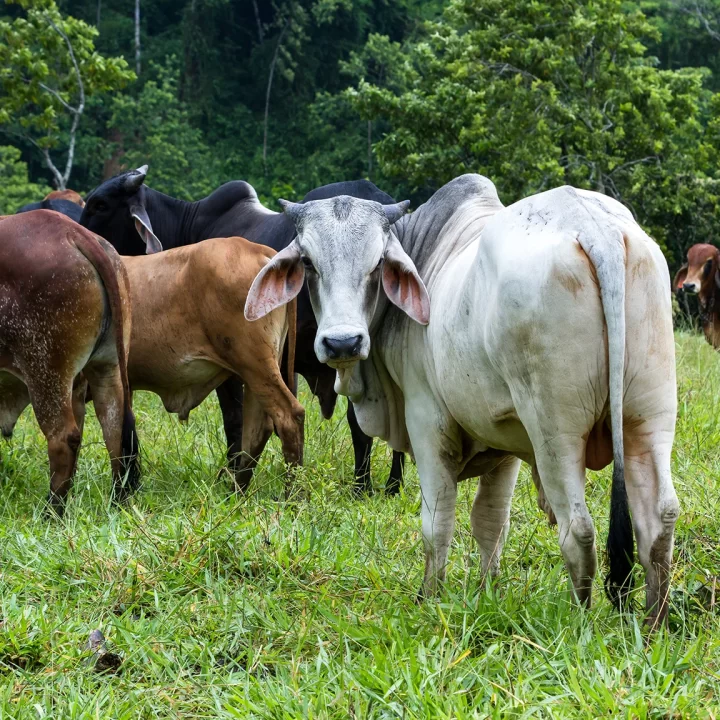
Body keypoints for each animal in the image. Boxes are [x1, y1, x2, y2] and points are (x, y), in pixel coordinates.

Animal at [0, 211, 140, 513]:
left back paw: (52, 510)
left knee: (64, 437)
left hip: (46, 372)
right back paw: (117, 500)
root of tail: (71, 231)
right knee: (114, 427)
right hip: (106, 367)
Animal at [120, 235, 304, 491]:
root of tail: (257, 249)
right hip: (260, 369)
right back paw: (236, 491)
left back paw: (293, 496)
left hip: (255, 364)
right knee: (258, 428)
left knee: (288, 417)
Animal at [244, 174, 679, 626]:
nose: (343, 342)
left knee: (578, 529)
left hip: (555, 434)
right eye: (309, 263)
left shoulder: (427, 423)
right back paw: (654, 625)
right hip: (649, 418)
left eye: (378, 263)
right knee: (660, 519)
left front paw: (428, 598)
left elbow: (437, 523)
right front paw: (487, 592)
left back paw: (580, 623)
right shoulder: (505, 443)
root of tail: (597, 230)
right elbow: (490, 522)